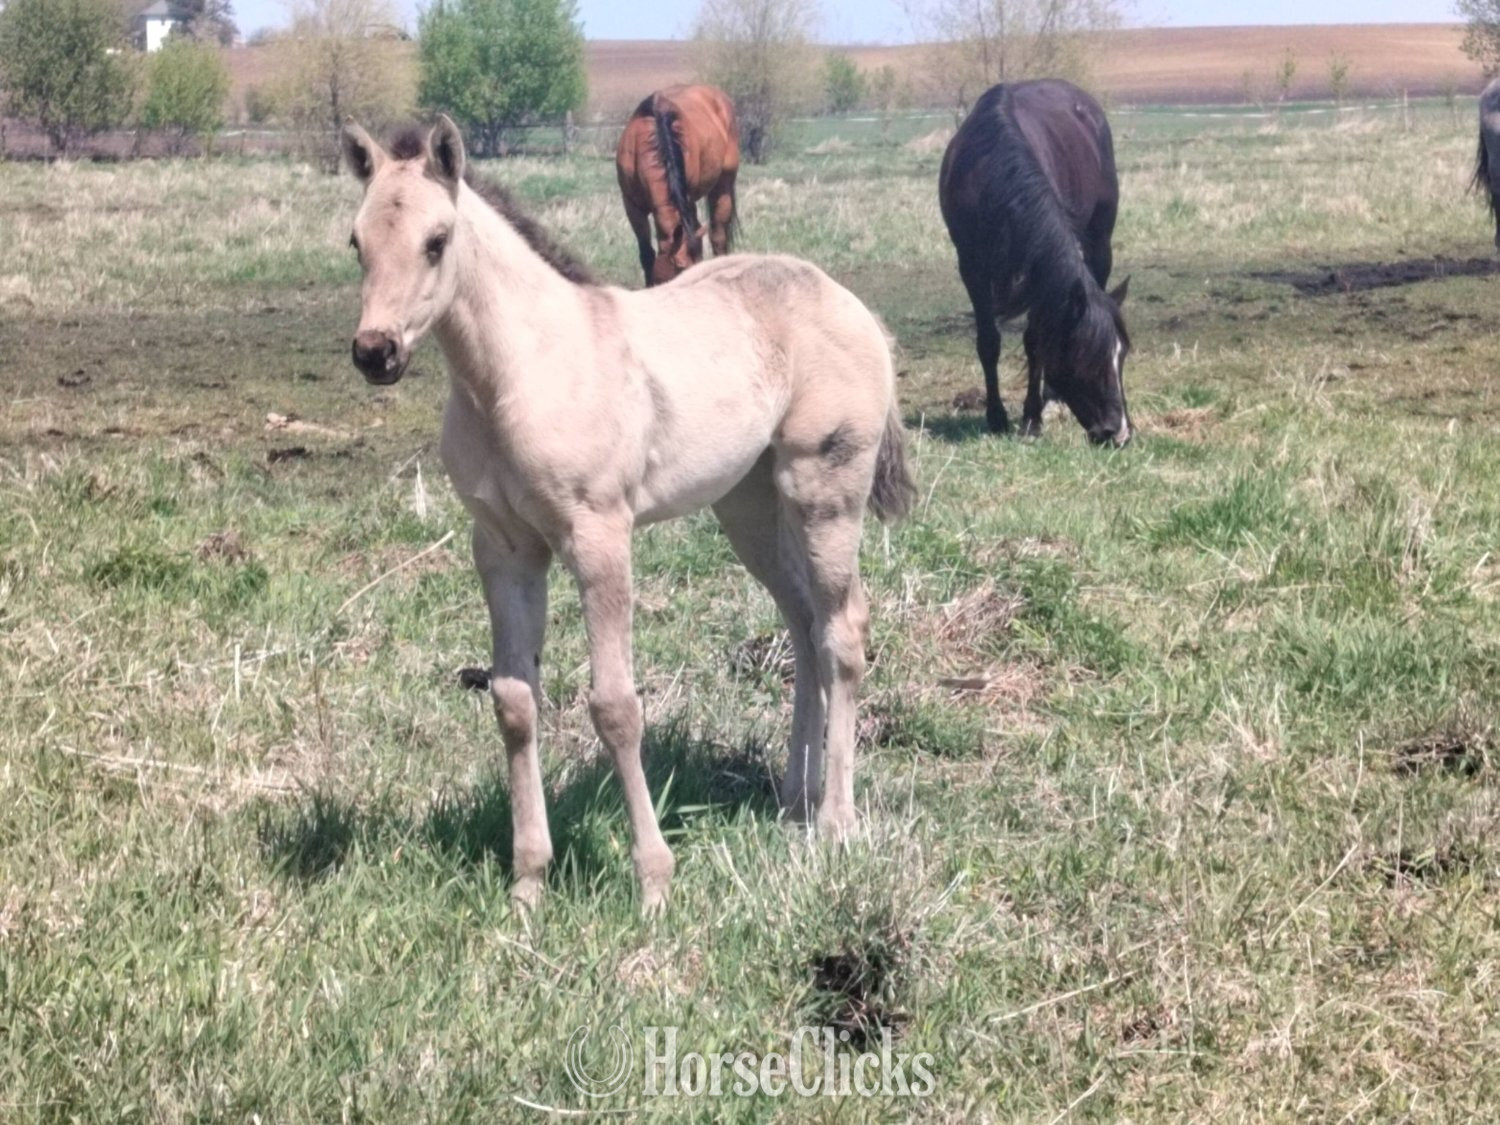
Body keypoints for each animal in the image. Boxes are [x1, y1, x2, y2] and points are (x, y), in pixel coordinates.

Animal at [341, 116, 914, 912]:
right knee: (803, 626)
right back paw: (793, 803)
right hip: (748, 507)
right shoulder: (503, 547)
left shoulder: (598, 536)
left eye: (437, 239)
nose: (376, 351)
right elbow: (514, 700)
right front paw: (527, 885)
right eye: (356, 242)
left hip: (824, 490)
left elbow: (614, 705)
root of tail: (851, 303)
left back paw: (835, 822)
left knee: (844, 631)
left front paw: (654, 883)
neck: (516, 375)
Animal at [616, 84, 740, 286]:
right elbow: (646, 254)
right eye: (681, 267)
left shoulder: (687, 199)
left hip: (723, 186)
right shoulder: (632, 206)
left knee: (718, 236)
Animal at [938, 79, 1131, 445]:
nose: (1119, 433)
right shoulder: (971, 265)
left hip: (1100, 240)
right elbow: (989, 341)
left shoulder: (1038, 271)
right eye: (1087, 357)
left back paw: (1050, 398)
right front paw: (996, 416)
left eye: (1122, 355)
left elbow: (1036, 341)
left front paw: (1031, 418)